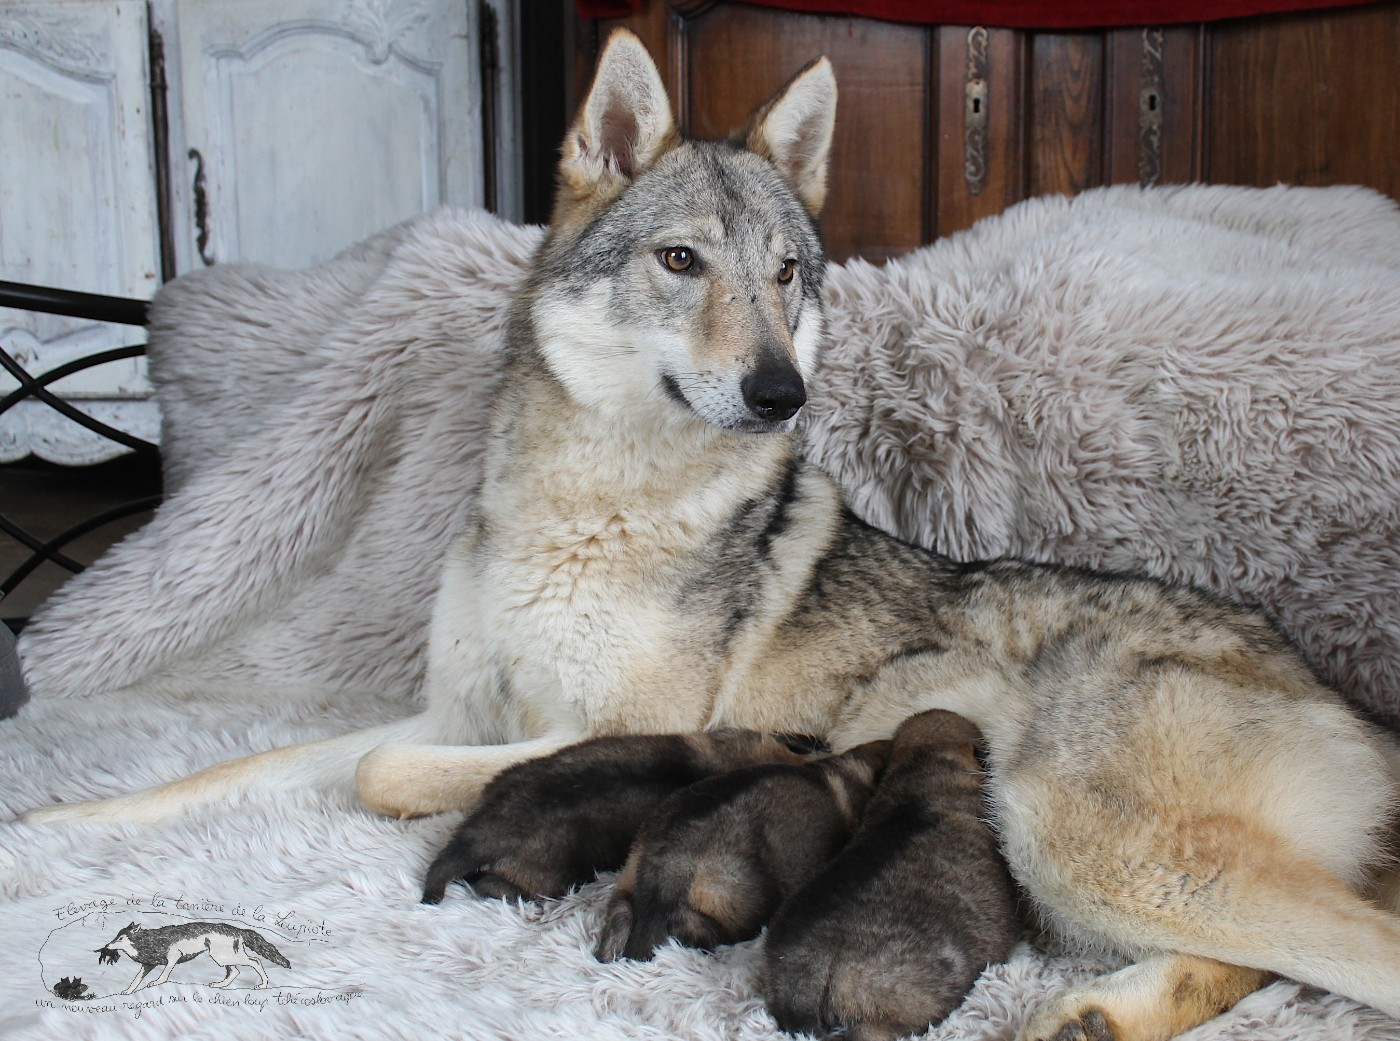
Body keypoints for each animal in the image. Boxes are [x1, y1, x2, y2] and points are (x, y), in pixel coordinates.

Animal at [96, 921, 290, 994]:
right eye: (116, 936)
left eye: (120, 939)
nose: (106, 947)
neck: (148, 941)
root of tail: (239, 930)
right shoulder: (147, 965)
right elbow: (136, 979)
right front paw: (128, 991)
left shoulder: (173, 957)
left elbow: (164, 975)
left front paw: (156, 982)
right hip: (223, 958)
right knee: (235, 972)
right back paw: (219, 985)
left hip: (223, 957)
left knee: (255, 961)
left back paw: (263, 985)